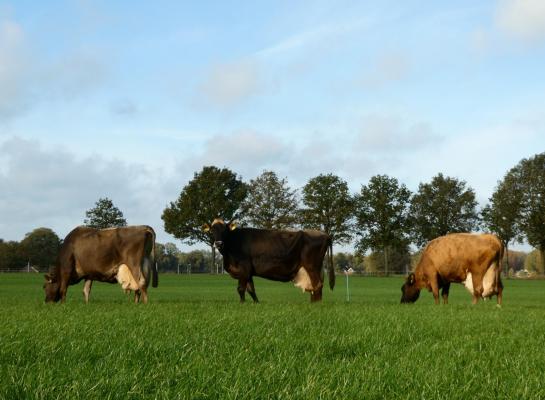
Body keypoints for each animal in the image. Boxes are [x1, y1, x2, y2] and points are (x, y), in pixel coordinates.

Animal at [204, 220, 332, 302]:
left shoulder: (243, 269)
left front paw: (242, 303)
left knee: (317, 285)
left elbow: (240, 289)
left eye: (225, 231)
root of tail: (324, 234)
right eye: (211, 231)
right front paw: (256, 303)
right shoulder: (248, 272)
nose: (218, 243)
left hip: (312, 266)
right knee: (315, 288)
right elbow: (251, 290)